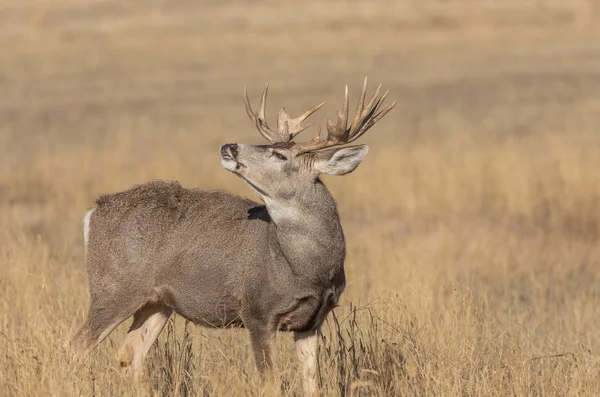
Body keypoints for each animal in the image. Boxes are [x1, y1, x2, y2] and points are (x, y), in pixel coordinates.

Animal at [69, 76, 394, 394]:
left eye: (279, 154)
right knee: (77, 345)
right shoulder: (257, 311)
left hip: (157, 301)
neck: (305, 268)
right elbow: (270, 384)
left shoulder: (312, 321)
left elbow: (313, 385)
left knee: (129, 354)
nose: (229, 146)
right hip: (114, 288)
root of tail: (94, 211)